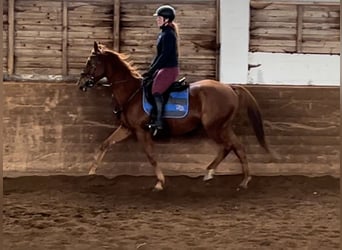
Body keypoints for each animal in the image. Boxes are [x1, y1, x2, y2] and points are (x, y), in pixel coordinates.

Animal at [77, 41, 270, 191]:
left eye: (90, 62)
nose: (81, 84)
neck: (131, 92)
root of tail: (230, 87)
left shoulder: (141, 131)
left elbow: (151, 156)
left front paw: (160, 183)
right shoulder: (127, 128)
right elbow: (104, 144)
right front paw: (91, 173)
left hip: (214, 127)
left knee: (230, 146)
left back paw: (226, 176)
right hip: (223, 127)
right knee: (236, 147)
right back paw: (232, 178)